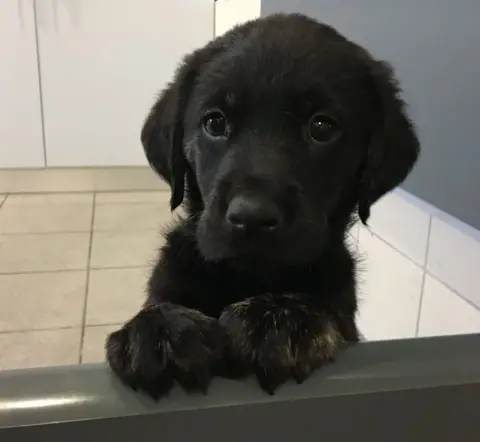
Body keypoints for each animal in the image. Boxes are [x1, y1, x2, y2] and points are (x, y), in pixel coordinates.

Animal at [104, 12, 416, 398]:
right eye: (215, 122)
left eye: (322, 126)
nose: (251, 217)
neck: (249, 278)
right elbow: (160, 305)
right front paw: (158, 328)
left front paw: (283, 317)